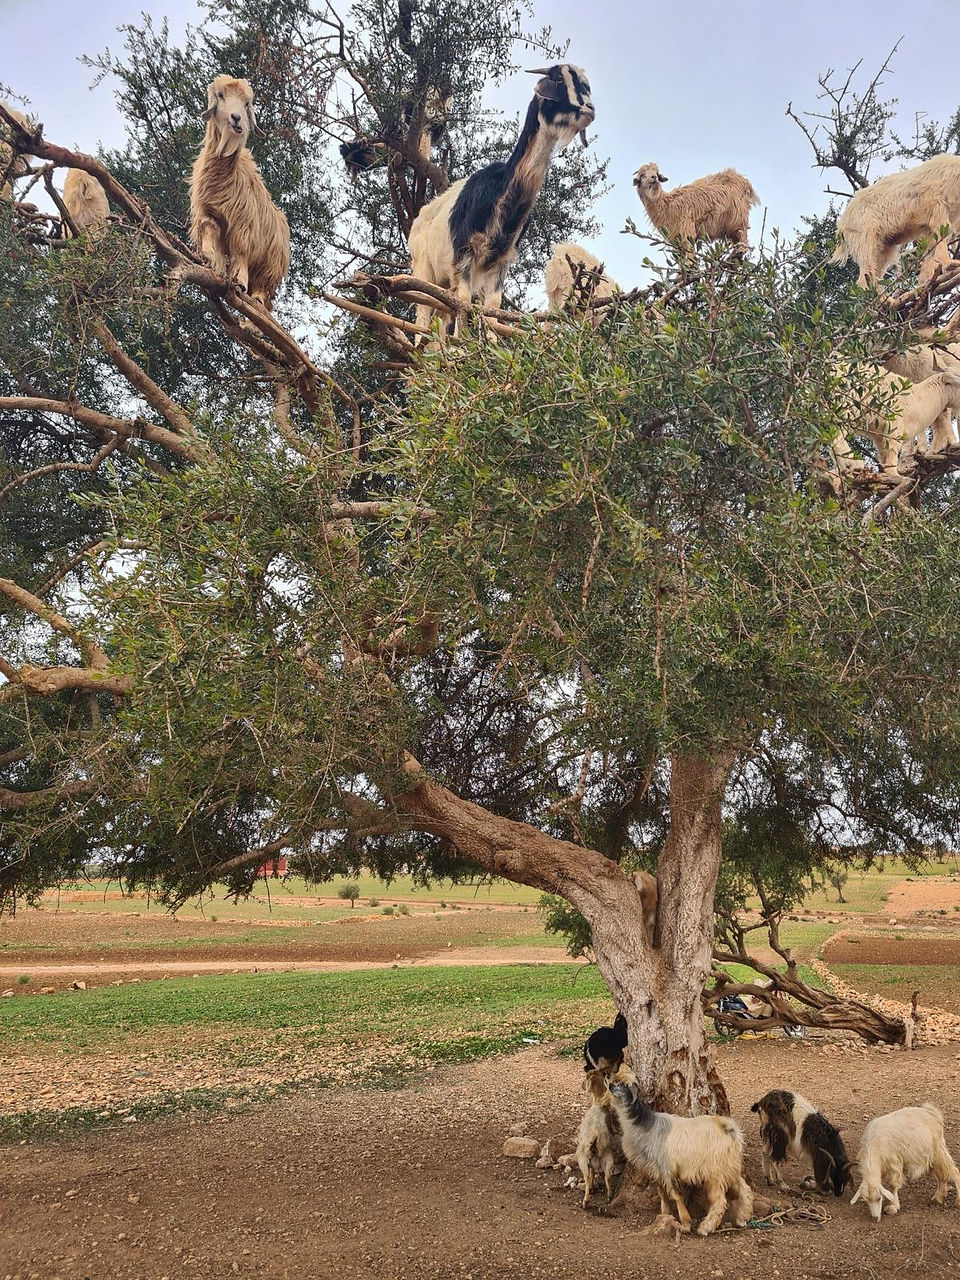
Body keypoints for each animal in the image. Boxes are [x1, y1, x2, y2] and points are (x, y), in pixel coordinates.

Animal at [188, 75, 290, 310]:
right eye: (220, 95)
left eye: (246, 104)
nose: (236, 119)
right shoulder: (208, 211)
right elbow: (209, 230)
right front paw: (207, 257)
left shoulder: (244, 224)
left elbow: (241, 251)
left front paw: (240, 282)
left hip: (271, 262)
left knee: (262, 282)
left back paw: (257, 298)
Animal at [407, 64, 594, 335]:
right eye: (558, 79)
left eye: (585, 84)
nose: (589, 109)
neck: (500, 193)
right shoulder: (464, 252)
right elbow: (464, 302)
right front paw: (462, 344)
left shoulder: (501, 260)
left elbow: (493, 309)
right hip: (423, 267)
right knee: (423, 313)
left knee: (441, 313)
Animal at [576, 1069, 625, 1208]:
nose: (582, 1085)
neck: (598, 1103)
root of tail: (595, 1135)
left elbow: (592, 1174)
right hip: (607, 1158)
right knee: (607, 1176)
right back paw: (608, 1197)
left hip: (583, 1157)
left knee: (588, 1177)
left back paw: (586, 1201)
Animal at [607, 1077, 753, 1236]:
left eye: (624, 1085)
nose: (610, 1085)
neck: (641, 1125)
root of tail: (729, 1128)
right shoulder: (656, 1171)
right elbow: (662, 1194)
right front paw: (665, 1214)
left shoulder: (667, 1170)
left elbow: (675, 1195)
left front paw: (685, 1223)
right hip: (729, 1167)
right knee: (745, 1190)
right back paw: (742, 1218)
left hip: (715, 1172)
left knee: (720, 1201)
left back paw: (705, 1227)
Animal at [831, 155, 960, 288]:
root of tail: (842, 225)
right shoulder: (935, 204)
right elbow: (942, 234)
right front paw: (949, 264)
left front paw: (926, 281)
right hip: (864, 236)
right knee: (866, 274)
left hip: (883, 246)